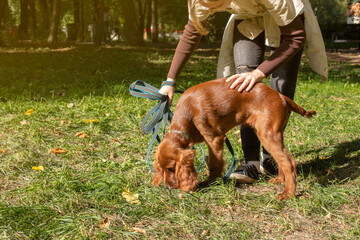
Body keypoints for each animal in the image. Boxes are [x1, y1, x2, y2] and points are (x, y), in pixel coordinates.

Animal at [152, 78, 316, 200]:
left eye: (172, 168)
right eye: (162, 168)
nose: (167, 187)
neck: (187, 114)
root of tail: (281, 96)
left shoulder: (215, 139)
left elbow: (215, 165)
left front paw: (208, 183)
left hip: (267, 134)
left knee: (289, 162)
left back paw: (288, 193)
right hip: (273, 134)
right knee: (282, 159)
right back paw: (280, 180)